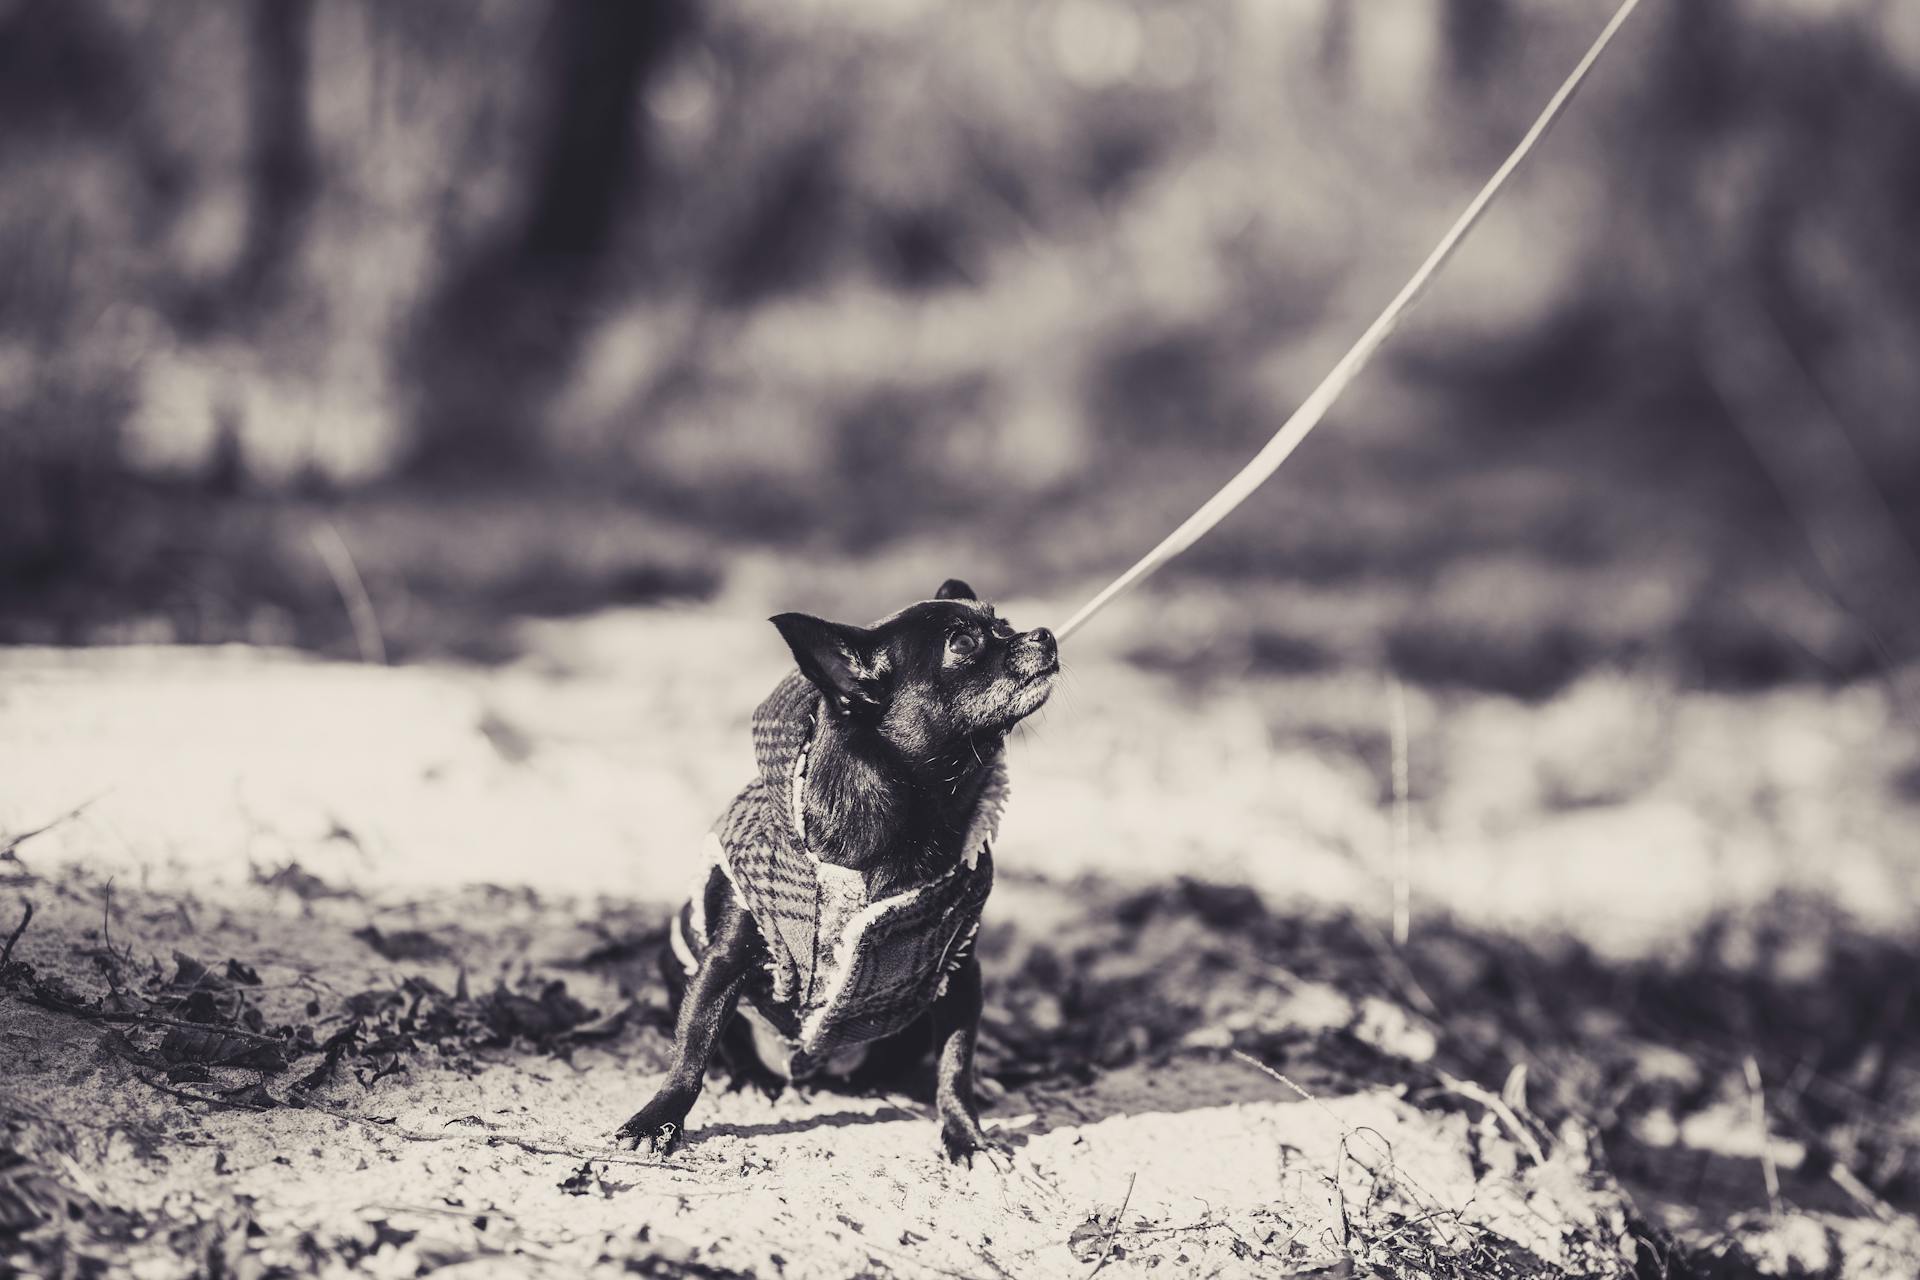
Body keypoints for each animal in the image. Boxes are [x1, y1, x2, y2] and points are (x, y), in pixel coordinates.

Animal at [614, 579, 1059, 1159]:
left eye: (1004, 624)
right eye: (962, 643)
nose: (1043, 633)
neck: (910, 813)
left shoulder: (958, 973)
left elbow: (956, 1060)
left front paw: (965, 1133)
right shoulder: (722, 961)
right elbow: (694, 1044)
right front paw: (659, 1118)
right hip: (679, 962)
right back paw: (750, 1078)